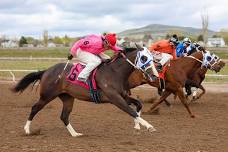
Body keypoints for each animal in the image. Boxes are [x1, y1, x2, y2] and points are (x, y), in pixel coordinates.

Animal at [12, 48, 157, 137]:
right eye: (144, 58)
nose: (155, 75)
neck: (115, 72)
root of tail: (46, 71)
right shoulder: (115, 98)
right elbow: (131, 111)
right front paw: (149, 126)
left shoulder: (124, 96)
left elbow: (138, 105)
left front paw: (137, 126)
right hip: (47, 95)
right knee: (35, 108)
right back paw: (27, 130)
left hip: (67, 98)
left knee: (64, 116)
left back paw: (75, 134)